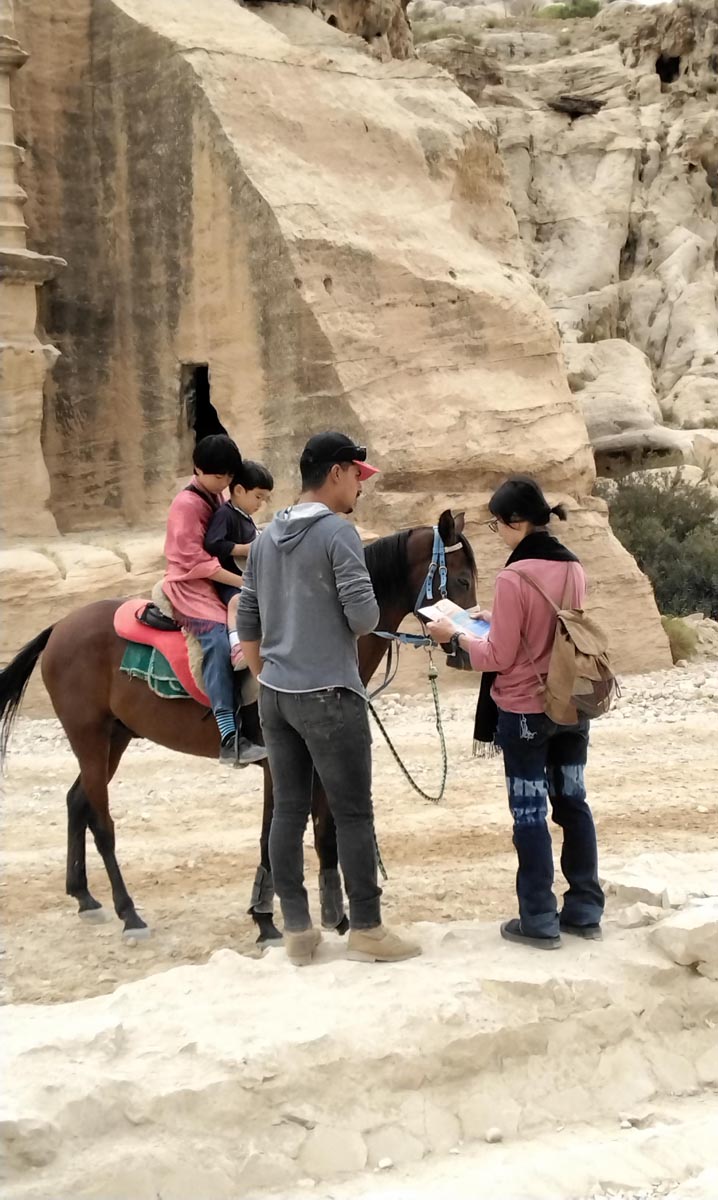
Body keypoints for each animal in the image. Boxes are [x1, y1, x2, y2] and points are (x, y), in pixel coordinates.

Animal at [0, 510, 477, 940]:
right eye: (463, 580)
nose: (464, 647)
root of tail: (60, 627)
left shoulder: (320, 756)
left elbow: (325, 832)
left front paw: (336, 920)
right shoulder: (278, 764)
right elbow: (273, 835)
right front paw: (266, 920)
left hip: (114, 738)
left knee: (76, 801)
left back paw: (84, 897)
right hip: (91, 736)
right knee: (101, 821)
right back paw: (128, 914)